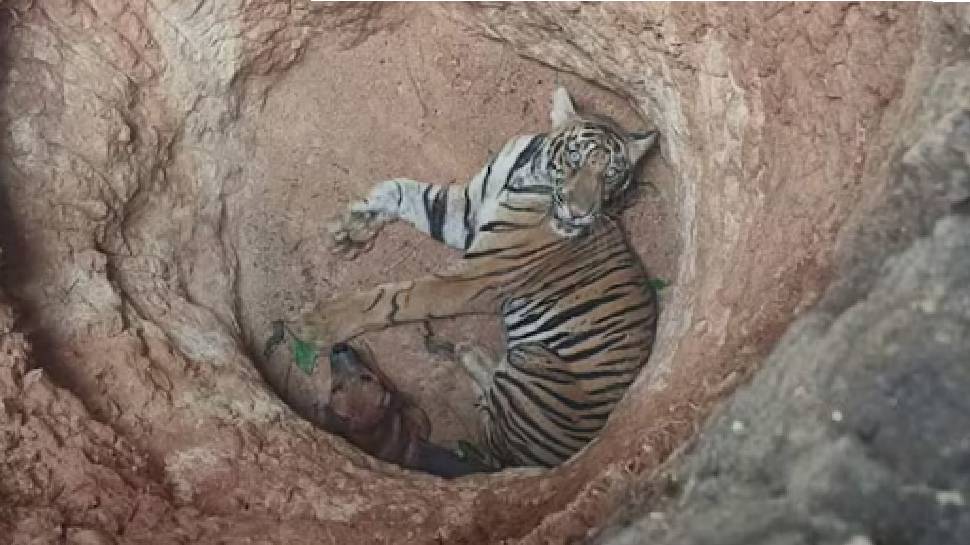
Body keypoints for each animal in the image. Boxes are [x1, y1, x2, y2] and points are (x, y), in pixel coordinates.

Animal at [289, 87, 660, 468]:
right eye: (574, 157)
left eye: (612, 173)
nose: (579, 213)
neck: (525, 171)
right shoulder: (467, 211)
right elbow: (402, 190)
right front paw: (352, 228)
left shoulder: (478, 275)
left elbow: (397, 298)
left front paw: (318, 323)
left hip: (535, 362)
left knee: (492, 434)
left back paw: (469, 352)